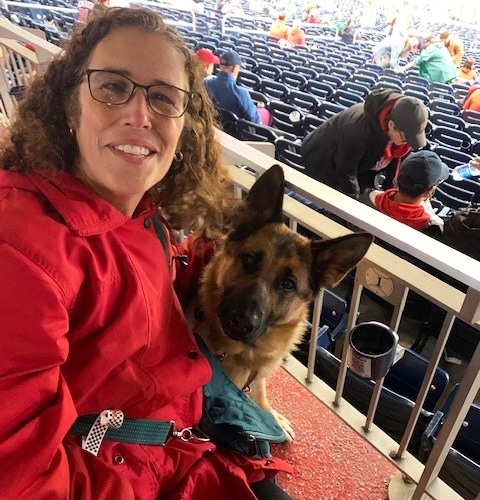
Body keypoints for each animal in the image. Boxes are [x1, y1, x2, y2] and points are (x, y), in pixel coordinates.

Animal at [193, 166, 374, 440]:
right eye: (249, 260)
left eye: (289, 284)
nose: (241, 321)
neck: (242, 353)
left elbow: (259, 387)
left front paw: (268, 413)